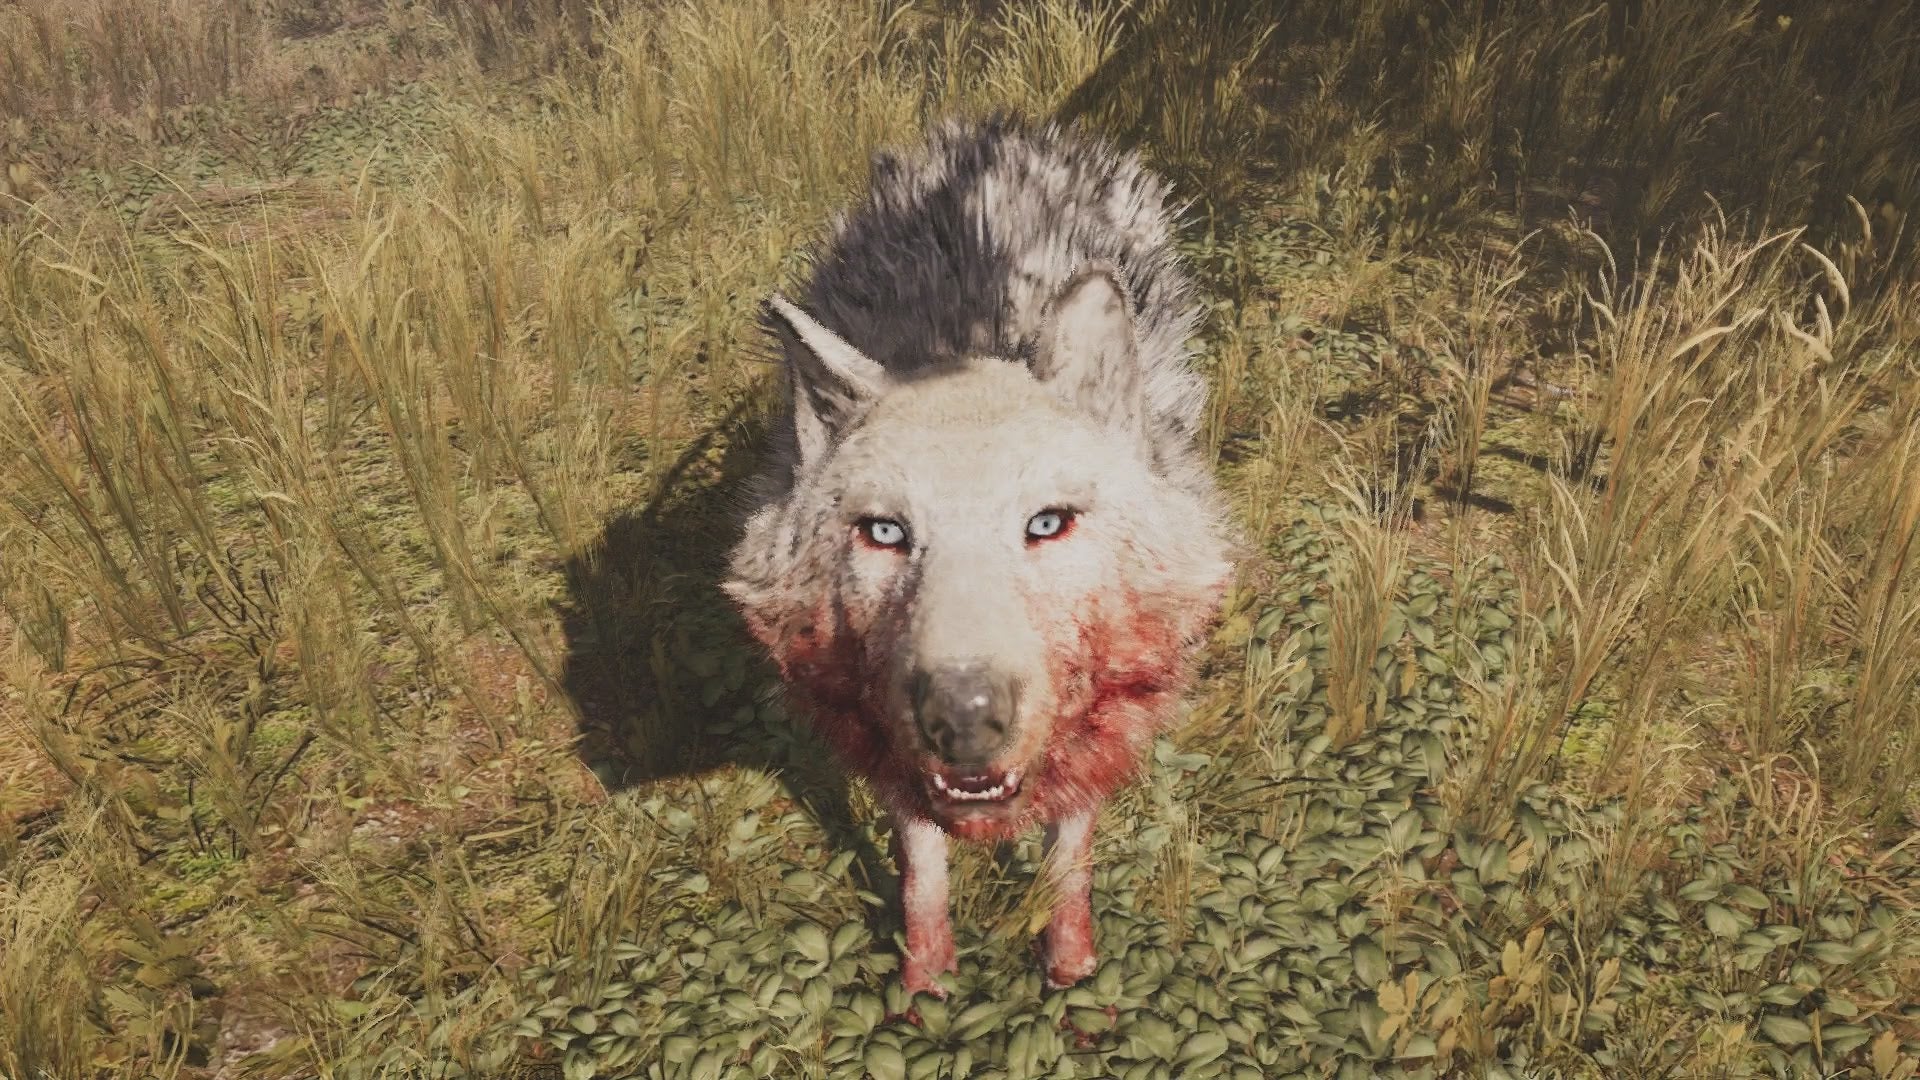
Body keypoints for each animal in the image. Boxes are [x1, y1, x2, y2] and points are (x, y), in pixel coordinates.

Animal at [723, 114, 1235, 996]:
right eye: (884, 532)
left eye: (1047, 523)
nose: (963, 717)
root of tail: (995, 129)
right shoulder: (890, 749)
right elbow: (921, 872)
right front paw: (925, 988)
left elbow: (1070, 860)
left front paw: (1072, 974)